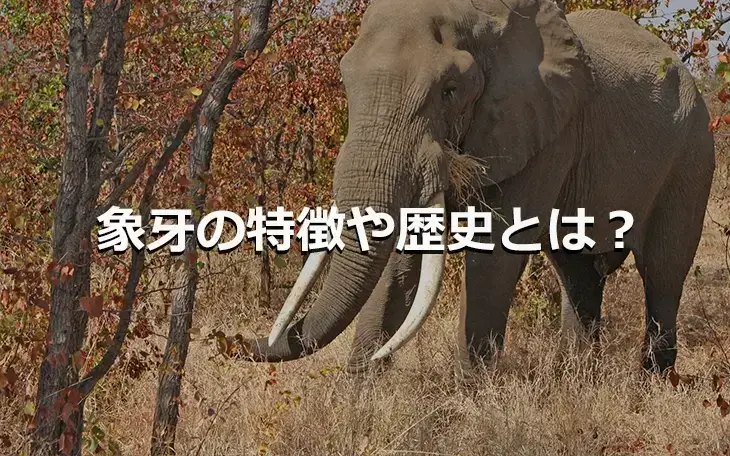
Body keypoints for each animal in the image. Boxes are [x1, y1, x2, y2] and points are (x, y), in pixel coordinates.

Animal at [238, 0, 717, 378]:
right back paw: (575, 378)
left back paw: (651, 383)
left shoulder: (547, 130)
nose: (239, 341)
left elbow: (494, 256)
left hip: (692, 156)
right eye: (345, 82)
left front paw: (472, 394)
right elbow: (400, 261)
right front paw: (359, 397)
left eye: (449, 91)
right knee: (577, 272)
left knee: (662, 272)